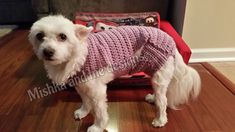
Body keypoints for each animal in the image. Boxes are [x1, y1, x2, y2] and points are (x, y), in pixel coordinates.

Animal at [27, 15, 200, 132]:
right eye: (39, 36)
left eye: (63, 36)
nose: (47, 51)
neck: (79, 54)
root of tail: (171, 42)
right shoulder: (81, 86)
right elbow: (86, 102)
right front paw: (83, 112)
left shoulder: (97, 92)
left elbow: (100, 112)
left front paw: (97, 126)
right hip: (156, 73)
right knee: (163, 95)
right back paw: (153, 98)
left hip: (159, 77)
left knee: (163, 101)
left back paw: (160, 120)